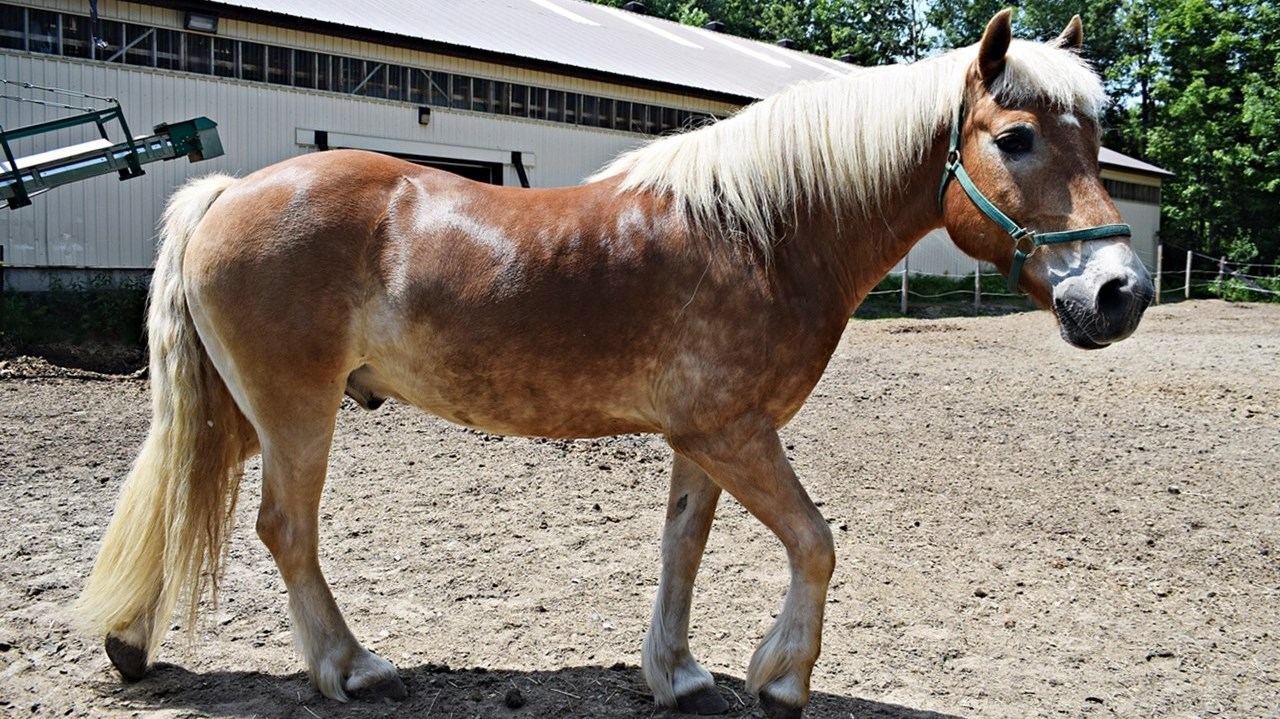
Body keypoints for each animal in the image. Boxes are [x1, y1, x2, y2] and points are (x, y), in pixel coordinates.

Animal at [76, 10, 1152, 718]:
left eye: (1096, 139)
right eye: (1016, 137)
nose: (1119, 292)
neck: (760, 232)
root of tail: (228, 192)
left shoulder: (705, 438)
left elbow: (683, 546)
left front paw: (677, 673)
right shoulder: (733, 432)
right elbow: (815, 543)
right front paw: (780, 677)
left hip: (243, 408)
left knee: (180, 488)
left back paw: (131, 638)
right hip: (296, 408)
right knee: (284, 529)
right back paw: (350, 667)